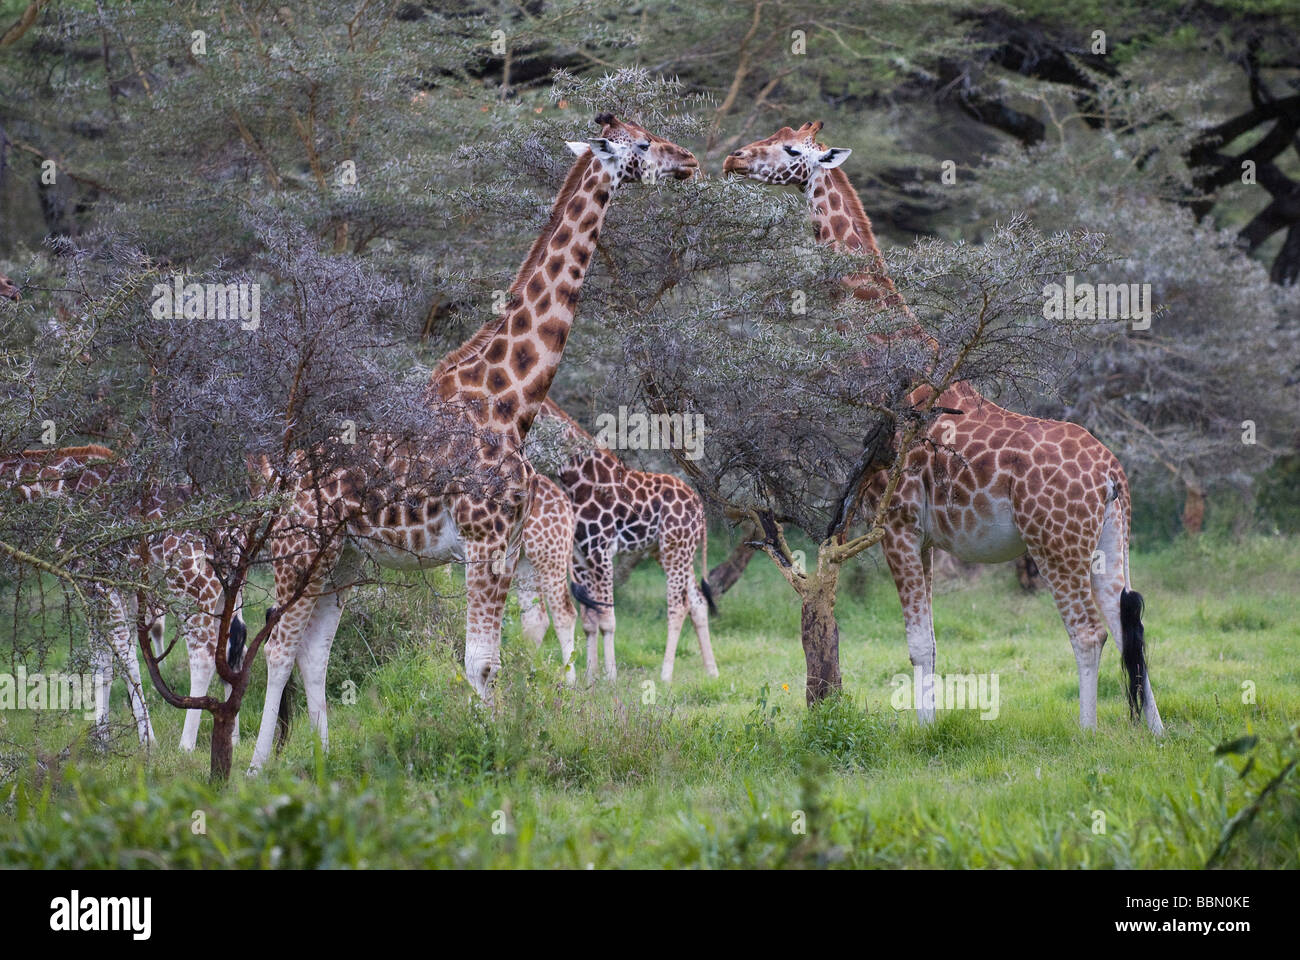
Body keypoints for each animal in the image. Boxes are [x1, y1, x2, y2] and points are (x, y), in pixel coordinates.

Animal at [0, 442, 246, 749]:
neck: (57, 490)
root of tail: (237, 532)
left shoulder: (96, 581)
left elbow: (124, 655)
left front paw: (147, 741)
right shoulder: (115, 589)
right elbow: (103, 661)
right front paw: (101, 738)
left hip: (191, 590)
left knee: (204, 656)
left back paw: (186, 745)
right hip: (230, 594)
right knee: (235, 650)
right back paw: (232, 738)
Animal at [527, 395, 717, 681]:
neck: (578, 482)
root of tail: (699, 506)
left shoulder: (600, 550)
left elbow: (607, 619)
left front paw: (611, 676)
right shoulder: (581, 554)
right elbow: (590, 620)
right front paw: (590, 676)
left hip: (675, 547)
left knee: (679, 605)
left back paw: (665, 675)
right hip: (669, 550)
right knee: (697, 600)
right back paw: (712, 671)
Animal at [728, 121, 1164, 733]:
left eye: (792, 149)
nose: (734, 159)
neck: (891, 359)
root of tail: (1110, 475)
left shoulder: (898, 526)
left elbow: (917, 644)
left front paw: (924, 732)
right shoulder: (928, 538)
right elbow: (930, 641)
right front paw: (931, 725)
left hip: (1055, 542)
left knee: (1087, 632)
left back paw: (1087, 733)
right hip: (1109, 541)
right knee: (1130, 626)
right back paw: (1156, 733)